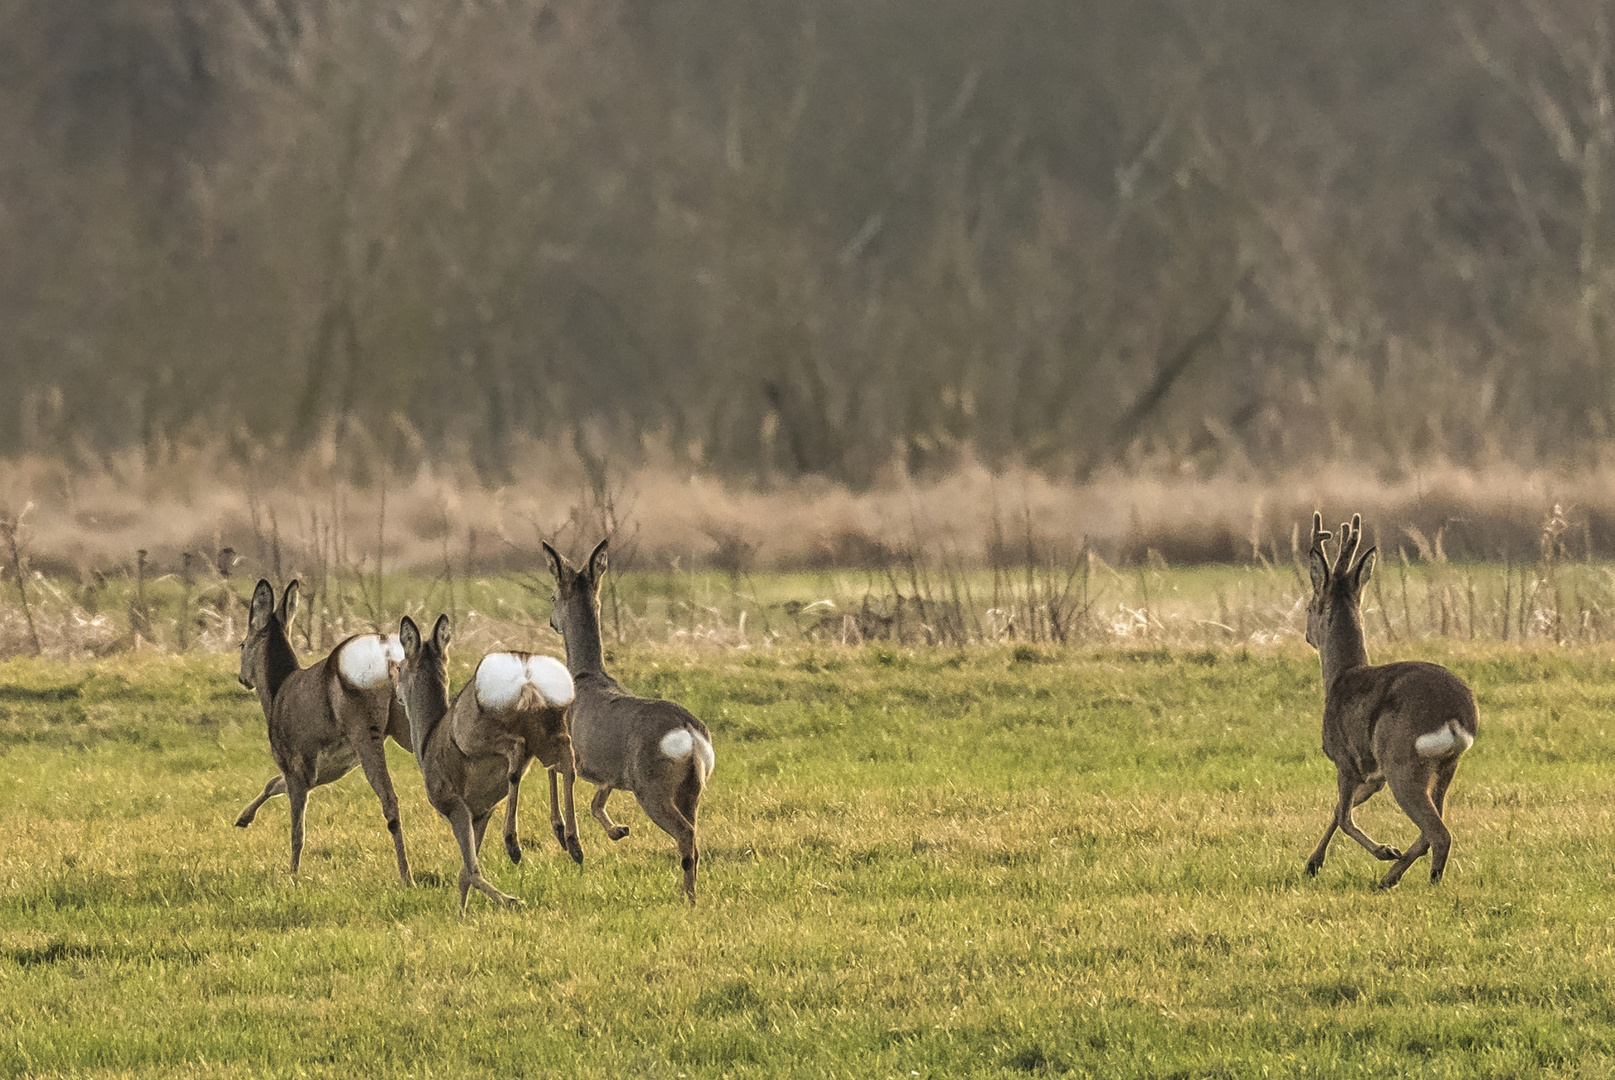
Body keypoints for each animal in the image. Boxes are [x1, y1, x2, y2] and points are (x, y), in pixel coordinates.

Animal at [239, 577, 419, 878]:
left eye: (241, 645)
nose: (242, 678)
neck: (275, 694)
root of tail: (388, 657)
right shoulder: (320, 772)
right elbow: (272, 784)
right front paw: (242, 818)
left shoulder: (294, 763)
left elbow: (297, 829)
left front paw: (292, 874)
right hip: (407, 724)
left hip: (363, 727)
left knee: (390, 800)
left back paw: (407, 876)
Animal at [390, 613, 581, 910]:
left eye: (399, 667)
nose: (396, 693)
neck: (426, 744)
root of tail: (527, 672)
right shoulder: (481, 811)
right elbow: (465, 873)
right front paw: (462, 912)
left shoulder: (453, 803)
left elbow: (471, 870)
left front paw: (511, 900)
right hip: (550, 725)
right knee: (565, 761)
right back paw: (571, 841)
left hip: (478, 732)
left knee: (517, 751)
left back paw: (513, 844)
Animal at [545, 535, 717, 904]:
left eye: (553, 596)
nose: (552, 621)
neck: (585, 678)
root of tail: (690, 734)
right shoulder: (608, 771)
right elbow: (595, 802)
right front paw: (617, 831)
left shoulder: (572, 750)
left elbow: (558, 778)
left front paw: (571, 843)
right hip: (691, 788)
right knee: (695, 838)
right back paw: (690, 892)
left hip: (651, 787)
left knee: (685, 836)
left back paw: (688, 898)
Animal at [1298, 513, 1479, 884]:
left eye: (1310, 605)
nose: (1306, 633)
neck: (1341, 676)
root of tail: (1456, 716)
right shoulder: (1374, 775)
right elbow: (1338, 810)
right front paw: (1312, 863)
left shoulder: (1345, 760)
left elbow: (1344, 816)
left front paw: (1382, 850)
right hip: (1446, 765)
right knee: (1431, 829)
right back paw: (1391, 878)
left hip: (1402, 758)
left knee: (1438, 831)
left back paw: (1414, 878)